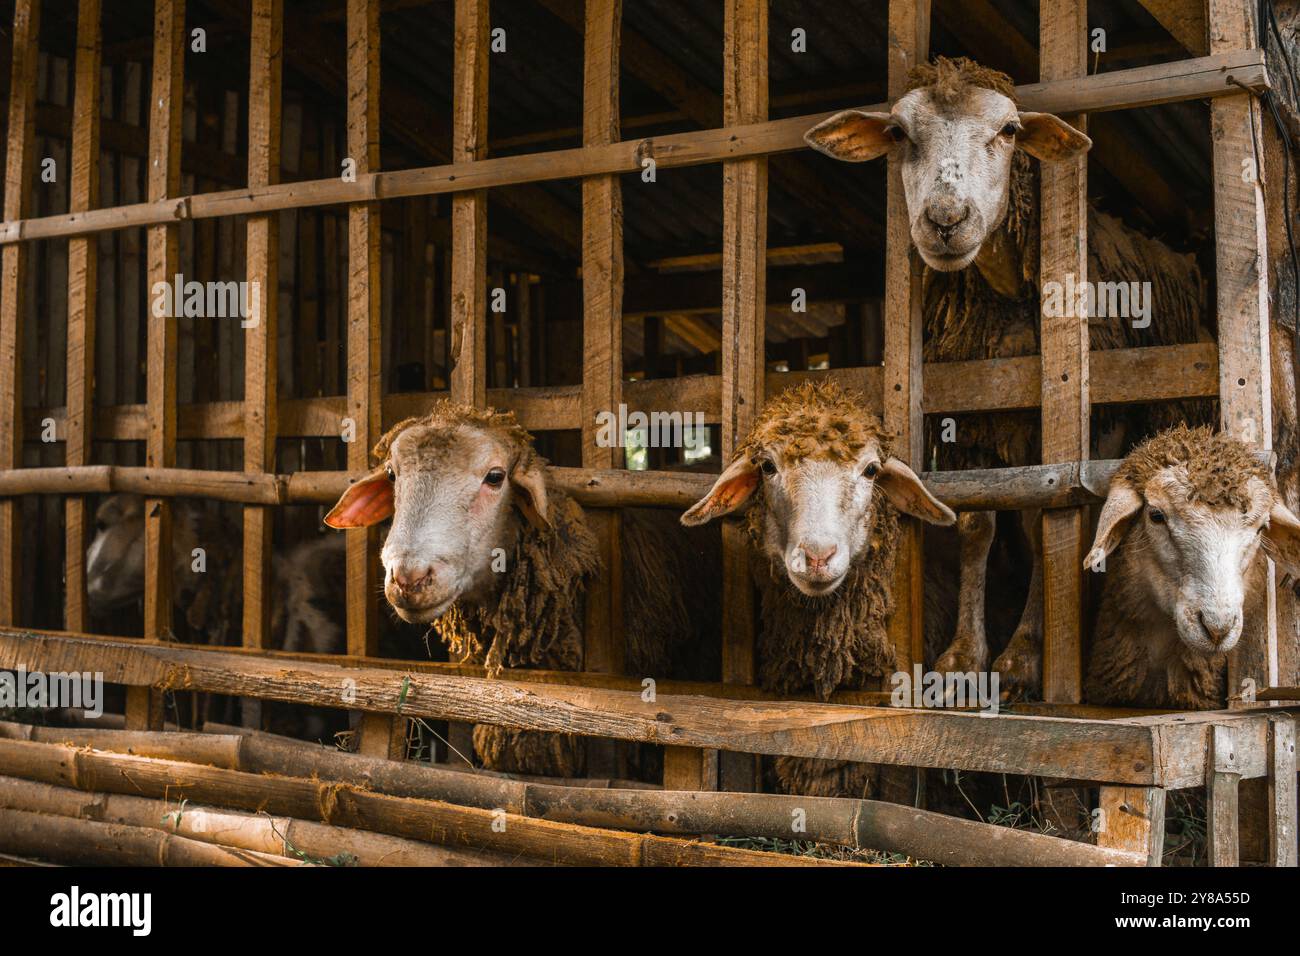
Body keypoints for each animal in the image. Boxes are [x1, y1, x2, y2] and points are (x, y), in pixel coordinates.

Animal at [806, 57, 1211, 702]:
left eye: (1010, 130)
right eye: (897, 132)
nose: (946, 221)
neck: (1005, 289)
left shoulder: (1095, 421)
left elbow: (1050, 516)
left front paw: (1026, 658)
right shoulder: (972, 418)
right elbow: (978, 522)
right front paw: (961, 661)